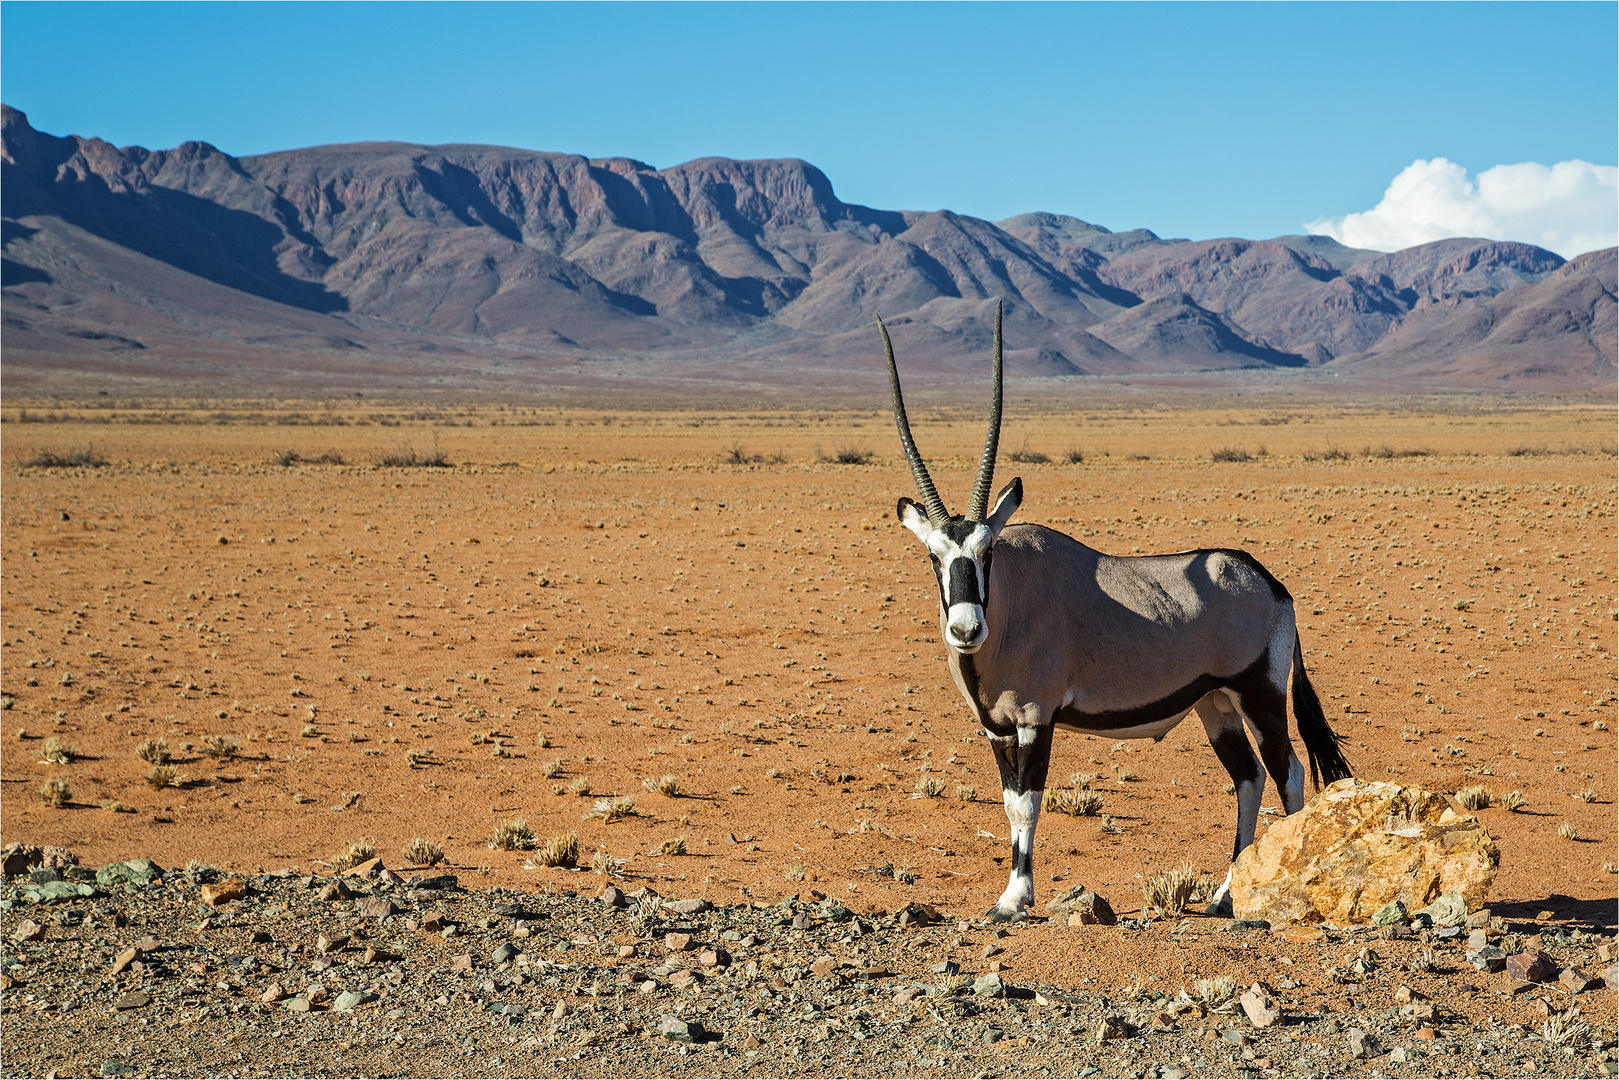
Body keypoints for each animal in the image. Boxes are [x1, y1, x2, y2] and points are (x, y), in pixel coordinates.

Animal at [887, 304, 1353, 919]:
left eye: (987, 552)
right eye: (933, 556)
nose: (966, 629)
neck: (1010, 604)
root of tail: (1273, 584)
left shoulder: (1036, 718)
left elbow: (1029, 803)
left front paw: (1014, 900)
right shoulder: (997, 728)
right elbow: (1011, 803)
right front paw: (1010, 895)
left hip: (1259, 696)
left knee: (1288, 773)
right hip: (1215, 706)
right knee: (1250, 778)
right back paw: (1224, 895)